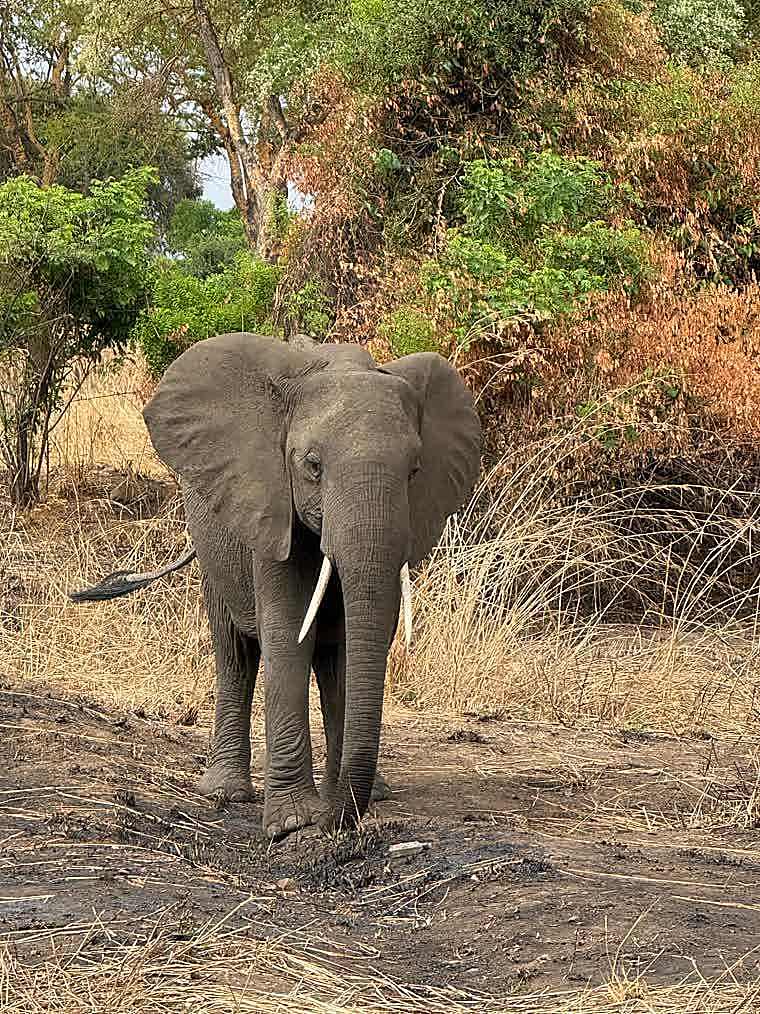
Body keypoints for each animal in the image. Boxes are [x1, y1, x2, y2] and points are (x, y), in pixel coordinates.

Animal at [71, 332, 481, 839]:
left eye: (415, 471)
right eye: (313, 466)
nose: (336, 825)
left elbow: (355, 642)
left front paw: (331, 807)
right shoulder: (268, 506)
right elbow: (287, 633)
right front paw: (293, 823)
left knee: (328, 658)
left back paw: (370, 790)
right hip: (214, 536)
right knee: (236, 652)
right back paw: (227, 792)